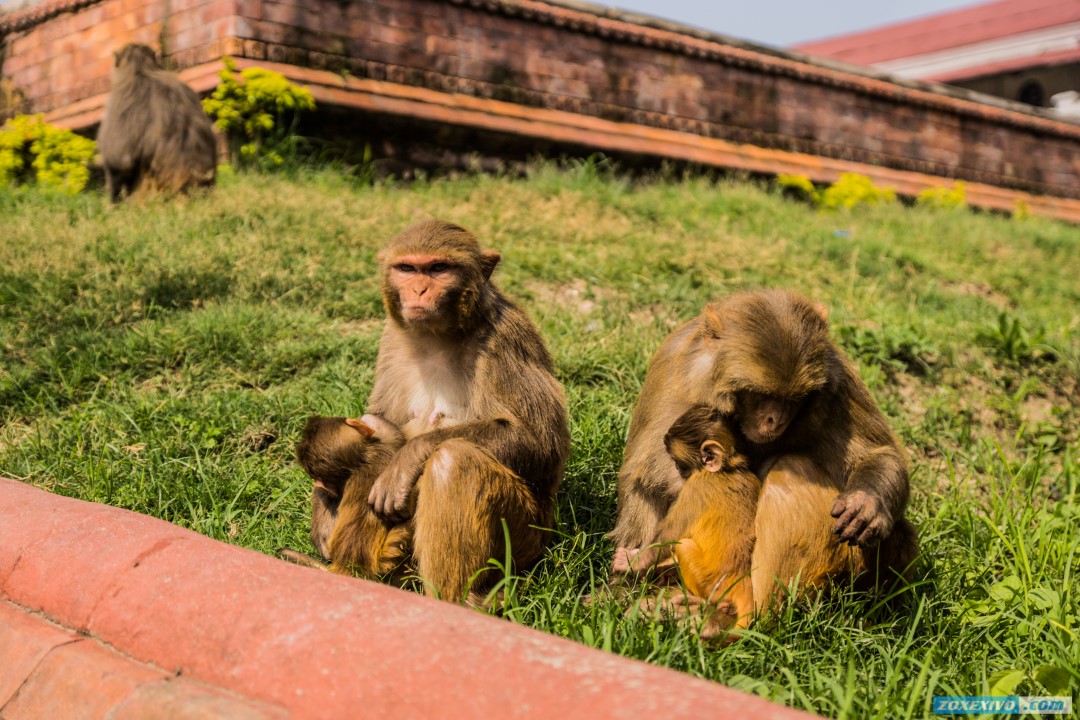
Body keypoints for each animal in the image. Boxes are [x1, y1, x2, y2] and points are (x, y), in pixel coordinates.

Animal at [613, 289, 915, 604]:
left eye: (793, 399)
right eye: (759, 395)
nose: (775, 419)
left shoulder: (837, 380)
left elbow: (878, 453)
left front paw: (865, 502)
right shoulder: (671, 372)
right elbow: (645, 482)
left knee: (790, 465)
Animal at [617, 405, 760, 643]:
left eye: (678, 463)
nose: (679, 472)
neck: (728, 469)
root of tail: (741, 578)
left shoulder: (695, 487)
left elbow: (669, 536)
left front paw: (634, 561)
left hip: (710, 582)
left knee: (684, 545)